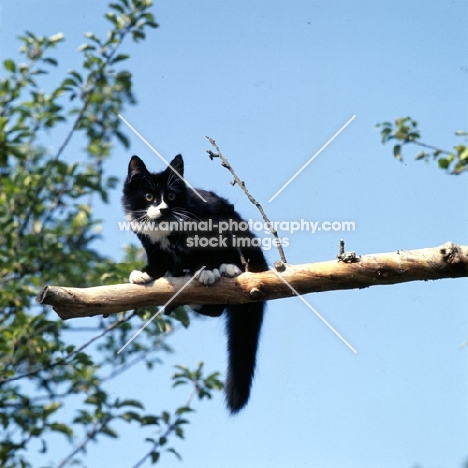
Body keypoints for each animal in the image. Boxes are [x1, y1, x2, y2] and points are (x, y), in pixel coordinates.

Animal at [121, 155, 266, 412]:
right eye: (148, 196)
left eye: (170, 196)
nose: (163, 209)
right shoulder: (148, 242)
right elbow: (157, 260)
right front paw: (145, 274)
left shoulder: (211, 216)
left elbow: (209, 246)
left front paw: (207, 270)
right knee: (215, 309)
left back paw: (227, 269)